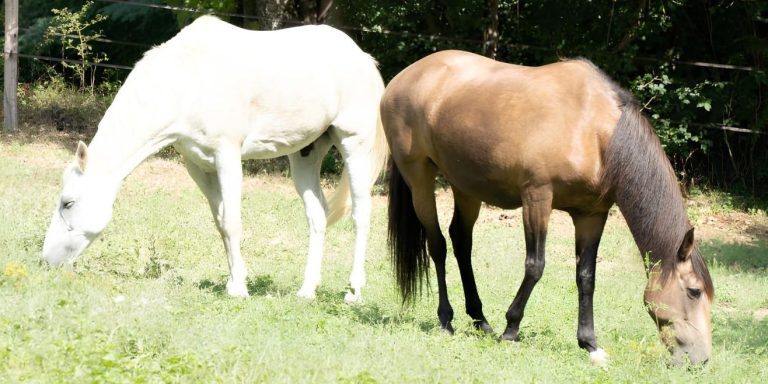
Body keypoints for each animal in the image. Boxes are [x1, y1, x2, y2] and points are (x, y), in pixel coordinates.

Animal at [40, 15, 390, 304]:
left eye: (68, 203)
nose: (47, 260)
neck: (186, 80)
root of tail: (364, 58)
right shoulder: (200, 166)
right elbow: (221, 224)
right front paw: (234, 282)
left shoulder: (227, 155)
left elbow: (233, 223)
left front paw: (239, 291)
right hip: (305, 155)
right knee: (318, 216)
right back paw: (307, 291)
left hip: (354, 144)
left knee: (361, 215)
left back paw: (354, 292)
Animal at [382, 51, 712, 366]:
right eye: (694, 291)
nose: (701, 360)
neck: (592, 130)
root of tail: (405, 77)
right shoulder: (537, 198)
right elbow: (535, 266)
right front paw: (511, 330)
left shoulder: (591, 214)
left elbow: (586, 276)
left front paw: (590, 344)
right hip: (419, 176)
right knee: (437, 245)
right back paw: (446, 319)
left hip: (465, 185)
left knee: (461, 242)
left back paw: (480, 320)